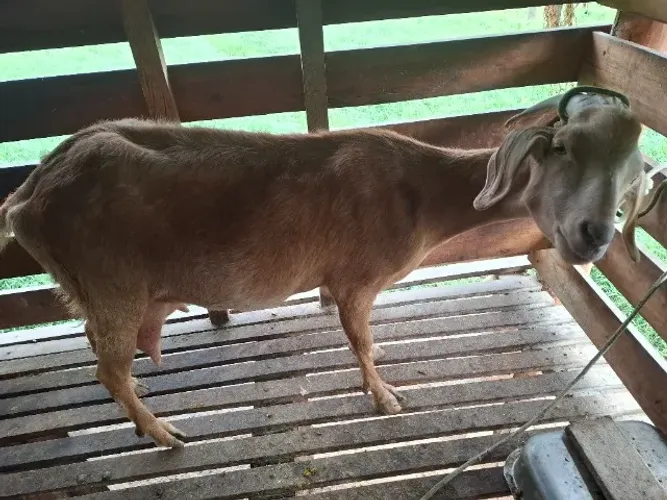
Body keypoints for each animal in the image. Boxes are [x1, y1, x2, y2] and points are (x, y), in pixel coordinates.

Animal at [0, 86, 647, 448]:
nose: (594, 236)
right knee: (108, 369)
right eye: (560, 148)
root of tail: (28, 195)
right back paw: (165, 434)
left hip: (92, 289)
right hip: (113, 284)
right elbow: (361, 340)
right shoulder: (356, 279)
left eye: (633, 164)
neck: (420, 192)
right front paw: (386, 398)